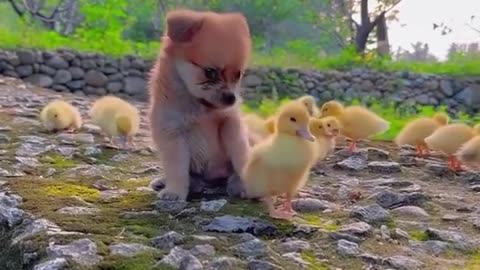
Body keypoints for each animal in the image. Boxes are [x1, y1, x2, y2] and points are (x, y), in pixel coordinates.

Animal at [147, 9, 251, 200]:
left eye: (238, 74)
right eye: (210, 72)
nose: (232, 98)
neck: (202, 109)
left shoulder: (230, 123)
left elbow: (240, 155)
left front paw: (247, 183)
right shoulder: (172, 134)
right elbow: (177, 169)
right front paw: (174, 191)